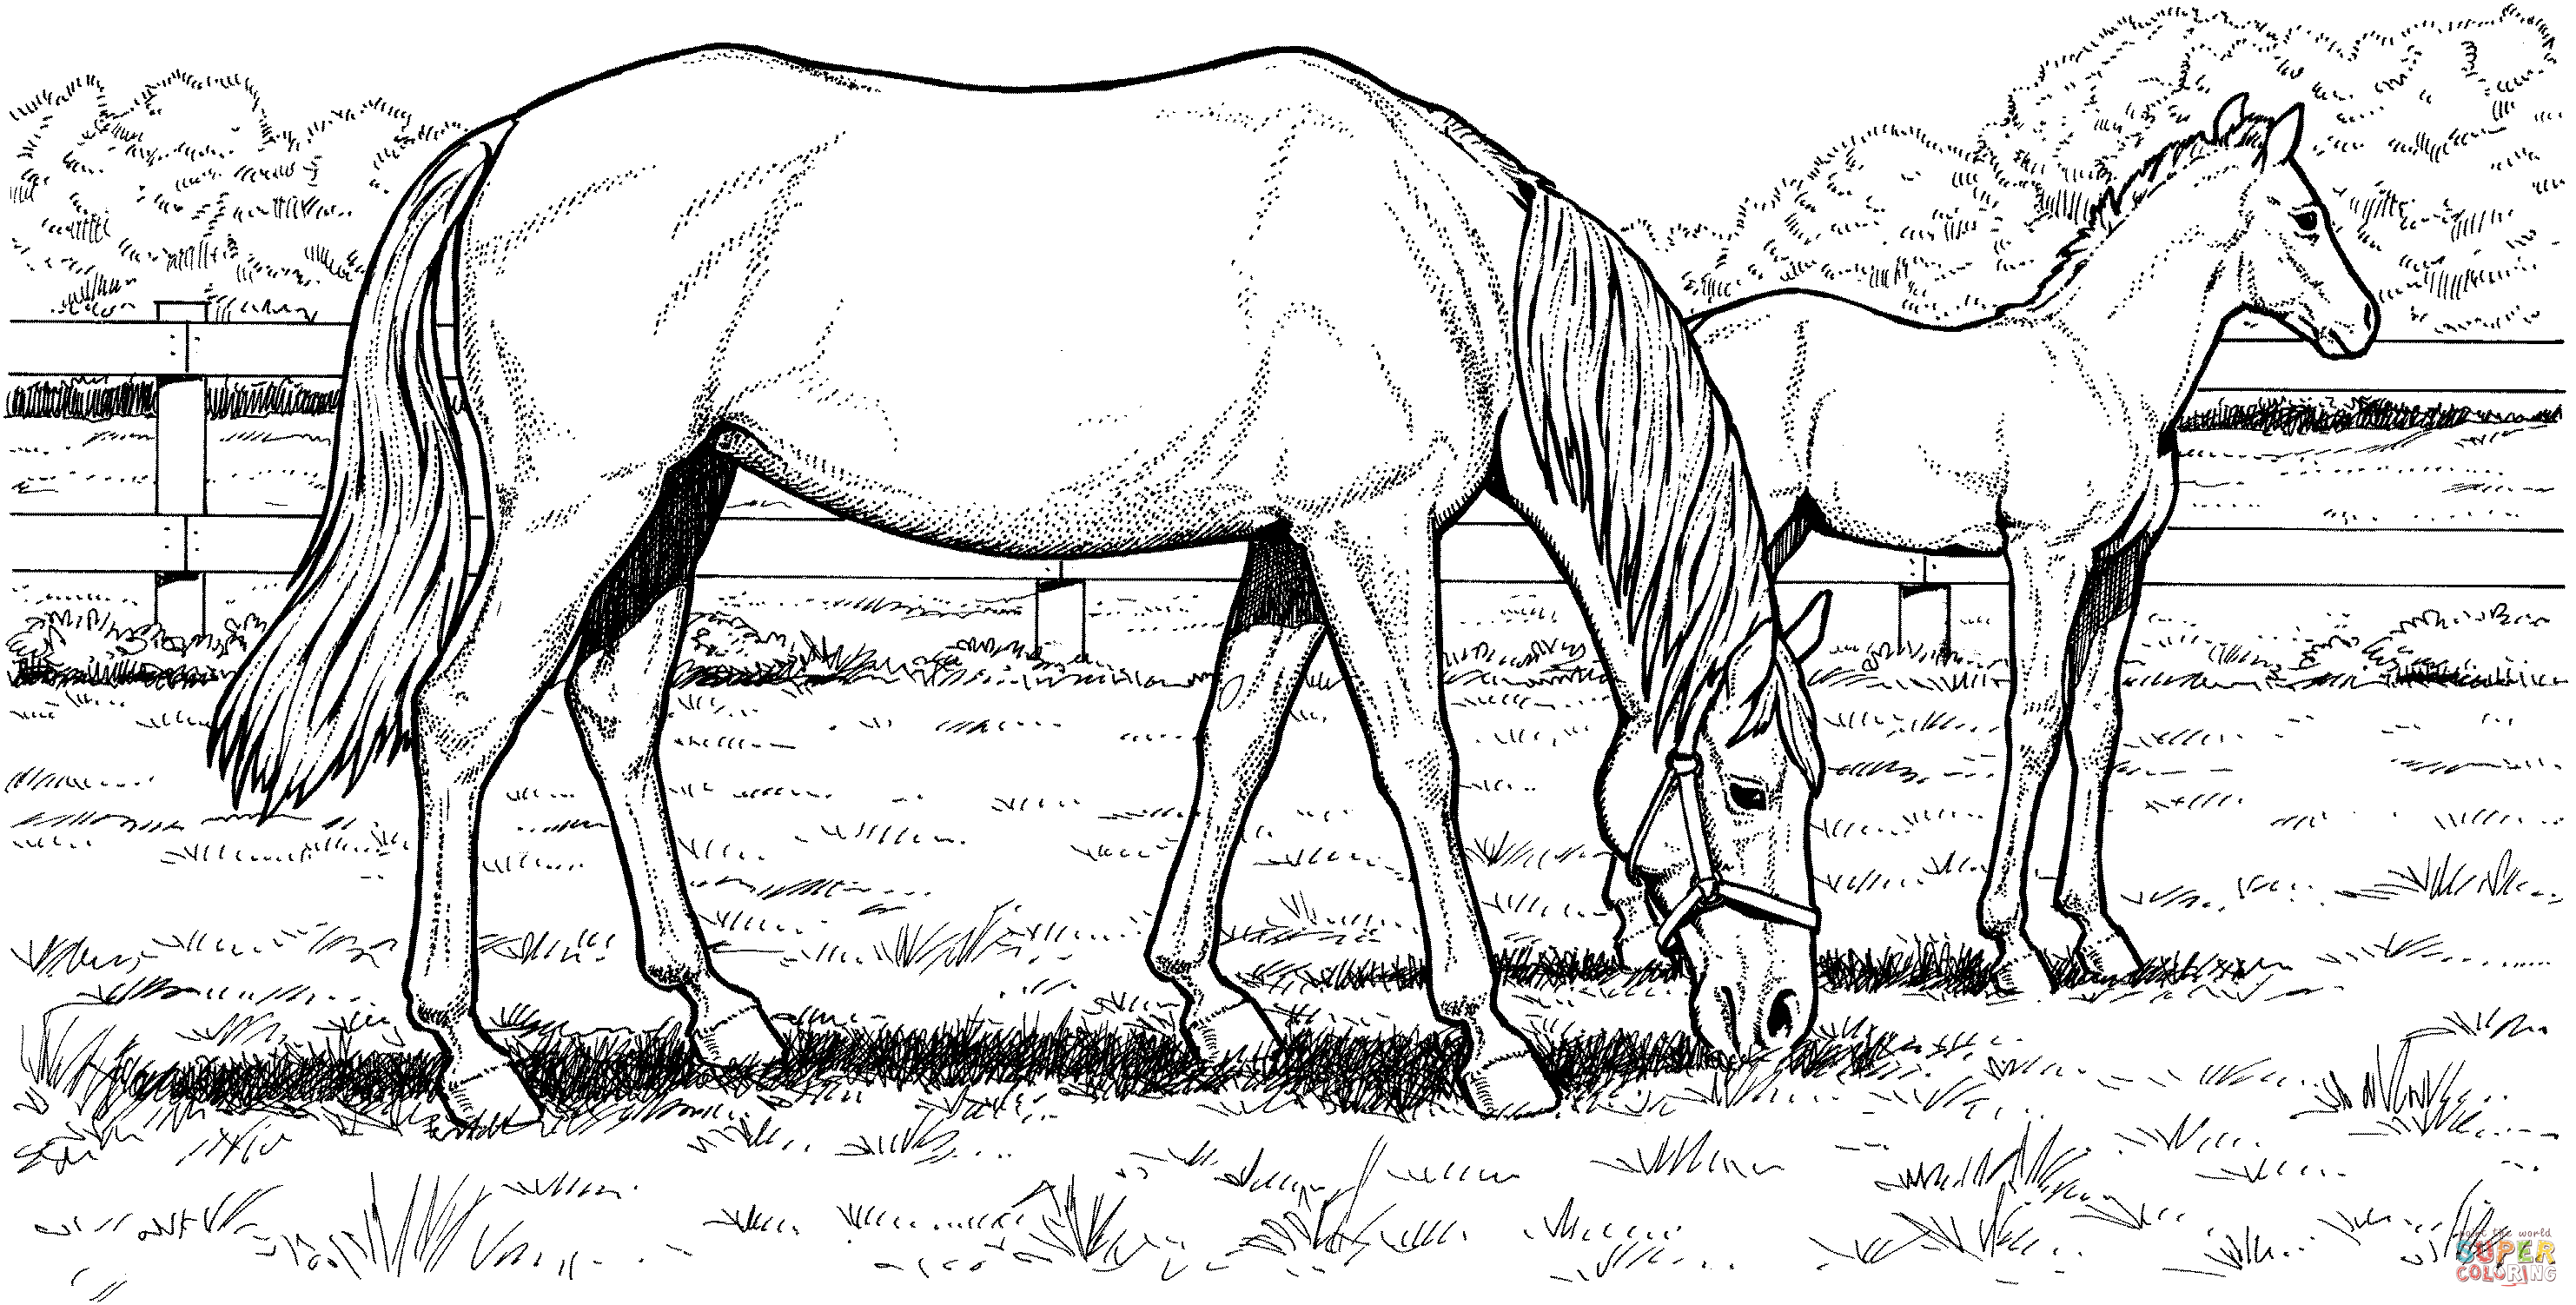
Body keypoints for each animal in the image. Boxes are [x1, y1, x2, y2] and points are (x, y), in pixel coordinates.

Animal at [210, 44, 1833, 1129]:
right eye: (1751, 785)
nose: (1778, 1014)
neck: (1454, 263)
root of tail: (504, 143)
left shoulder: (1288, 539)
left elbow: (1235, 738)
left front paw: (1212, 1003)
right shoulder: (1367, 530)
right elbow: (1418, 759)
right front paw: (1496, 1043)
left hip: (674, 497)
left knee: (615, 712)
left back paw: (726, 1015)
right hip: (577, 505)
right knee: (462, 715)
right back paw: (474, 1060)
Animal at [1685, 95, 2376, 995]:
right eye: (2306, 216)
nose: (2362, 323)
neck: (2109, 375)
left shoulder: (2119, 566)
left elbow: (2098, 722)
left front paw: (2101, 934)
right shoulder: (2047, 558)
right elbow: (2037, 718)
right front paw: (2013, 945)